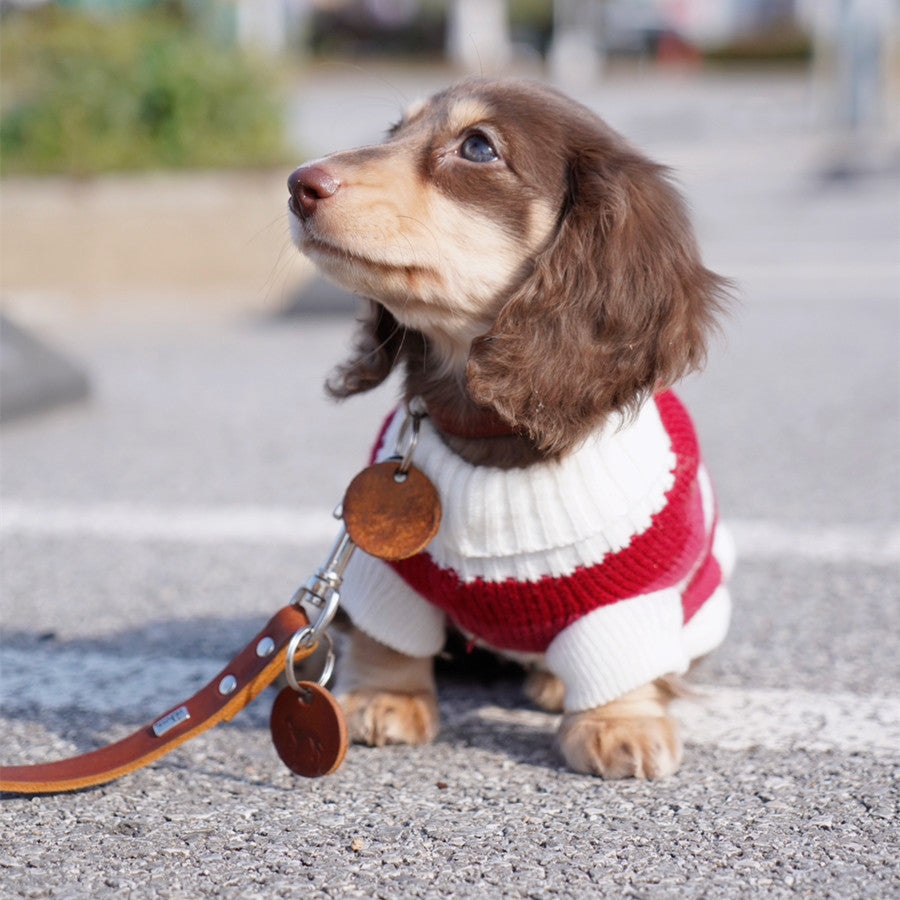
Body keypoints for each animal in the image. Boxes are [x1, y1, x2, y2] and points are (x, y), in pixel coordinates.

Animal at [292, 79, 736, 780]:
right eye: (394, 131)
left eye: (478, 147)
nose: (298, 184)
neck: (493, 438)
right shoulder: (388, 575)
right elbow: (390, 642)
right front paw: (387, 697)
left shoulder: (632, 598)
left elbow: (626, 664)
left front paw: (619, 724)